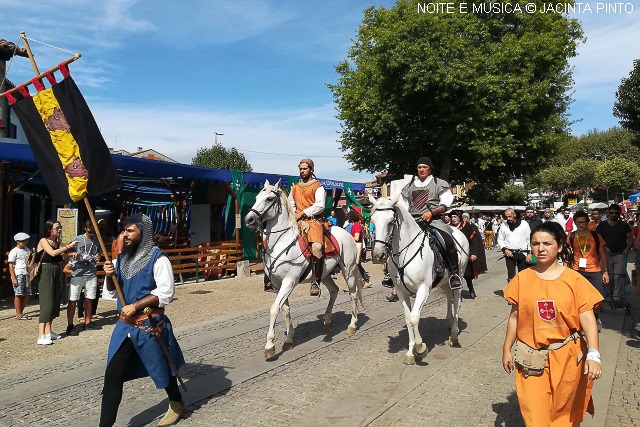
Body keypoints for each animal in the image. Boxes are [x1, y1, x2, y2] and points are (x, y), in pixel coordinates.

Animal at [245, 179, 364, 360]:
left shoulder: (289, 281)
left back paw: (352, 325)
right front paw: (289, 339)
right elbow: (285, 309)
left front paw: (270, 345)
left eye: (269, 199)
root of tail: (347, 233)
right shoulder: (277, 284)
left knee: (353, 294)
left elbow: (274, 308)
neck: (282, 242)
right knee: (334, 290)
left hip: (348, 271)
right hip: (324, 274)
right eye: (257, 197)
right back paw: (327, 322)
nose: (249, 219)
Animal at [368, 194, 468, 364]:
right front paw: (410, 352)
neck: (405, 252)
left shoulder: (423, 288)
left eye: (390, 222)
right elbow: (408, 318)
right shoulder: (401, 291)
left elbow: (414, 317)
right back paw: (449, 323)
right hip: (443, 281)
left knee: (457, 302)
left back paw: (454, 335)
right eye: (373, 221)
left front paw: (421, 348)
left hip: (458, 276)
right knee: (448, 296)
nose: (378, 254)